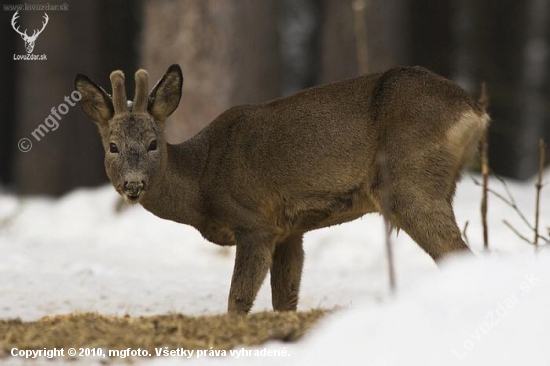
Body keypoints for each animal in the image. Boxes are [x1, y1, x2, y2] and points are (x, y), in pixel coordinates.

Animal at [74, 64, 492, 314]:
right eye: (112, 146)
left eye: (152, 144)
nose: (133, 184)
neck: (203, 183)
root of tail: (475, 111)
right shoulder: (290, 230)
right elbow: (285, 299)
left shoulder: (254, 222)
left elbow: (239, 299)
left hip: (411, 183)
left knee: (458, 252)